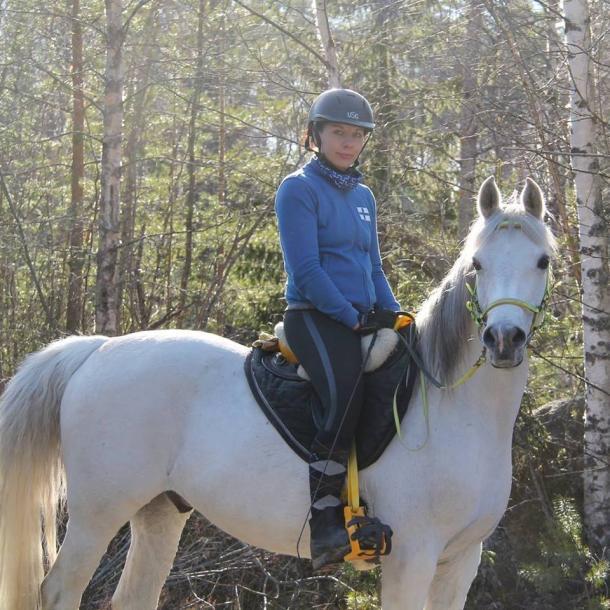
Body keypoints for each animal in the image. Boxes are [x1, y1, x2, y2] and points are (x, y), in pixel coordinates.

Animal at [0, 173, 552, 604]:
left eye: (543, 261)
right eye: (478, 264)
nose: (503, 340)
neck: (451, 407)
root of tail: (97, 351)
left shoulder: (460, 561)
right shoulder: (413, 559)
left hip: (159, 511)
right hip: (97, 514)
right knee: (59, 590)